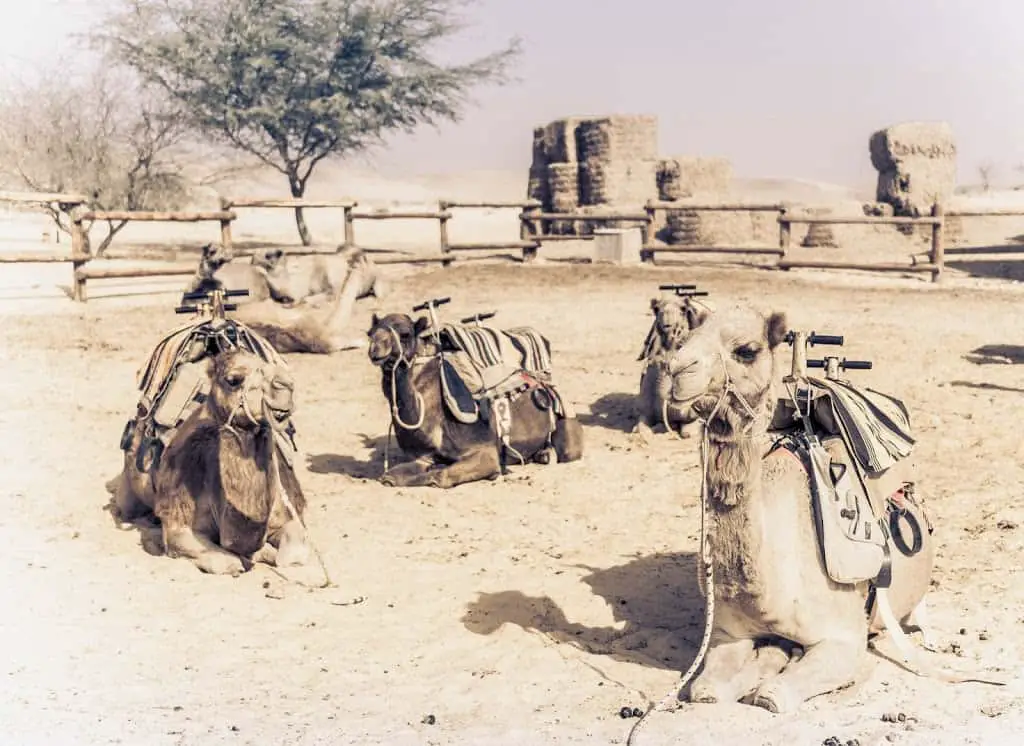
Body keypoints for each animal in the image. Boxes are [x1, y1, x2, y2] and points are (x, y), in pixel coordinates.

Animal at [104, 329, 313, 577]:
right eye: (233, 380)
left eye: (268, 364)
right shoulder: (179, 521)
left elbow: (294, 545)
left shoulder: (285, 510)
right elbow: (225, 560)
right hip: (130, 491)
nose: (285, 385)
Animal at [366, 309, 585, 489]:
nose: (375, 350)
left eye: (405, 334)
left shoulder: (485, 451)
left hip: (567, 429)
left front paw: (495, 473)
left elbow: (440, 476)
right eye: (370, 333)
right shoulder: (423, 457)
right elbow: (389, 477)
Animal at [659, 304, 946, 712]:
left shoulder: (843, 638)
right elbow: (705, 690)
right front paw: (767, 659)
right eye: (684, 340)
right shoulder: (726, 634)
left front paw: (772, 671)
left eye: (747, 350)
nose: (677, 371)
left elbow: (774, 696)